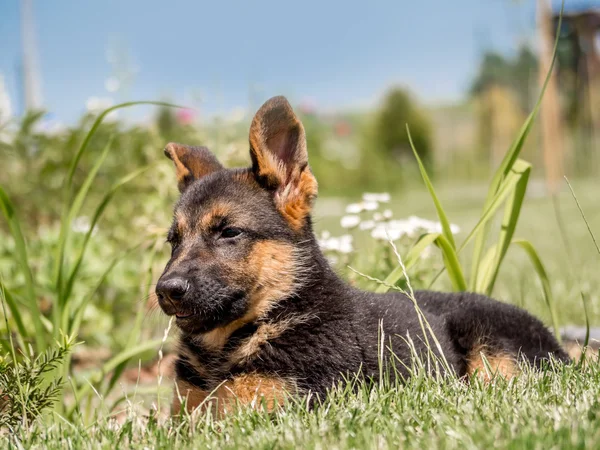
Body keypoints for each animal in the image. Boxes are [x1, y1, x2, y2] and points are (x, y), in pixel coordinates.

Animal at [157, 96, 568, 418]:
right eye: (173, 241)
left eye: (229, 232)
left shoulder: (273, 405)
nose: (166, 290)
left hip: (493, 355)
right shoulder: (186, 410)